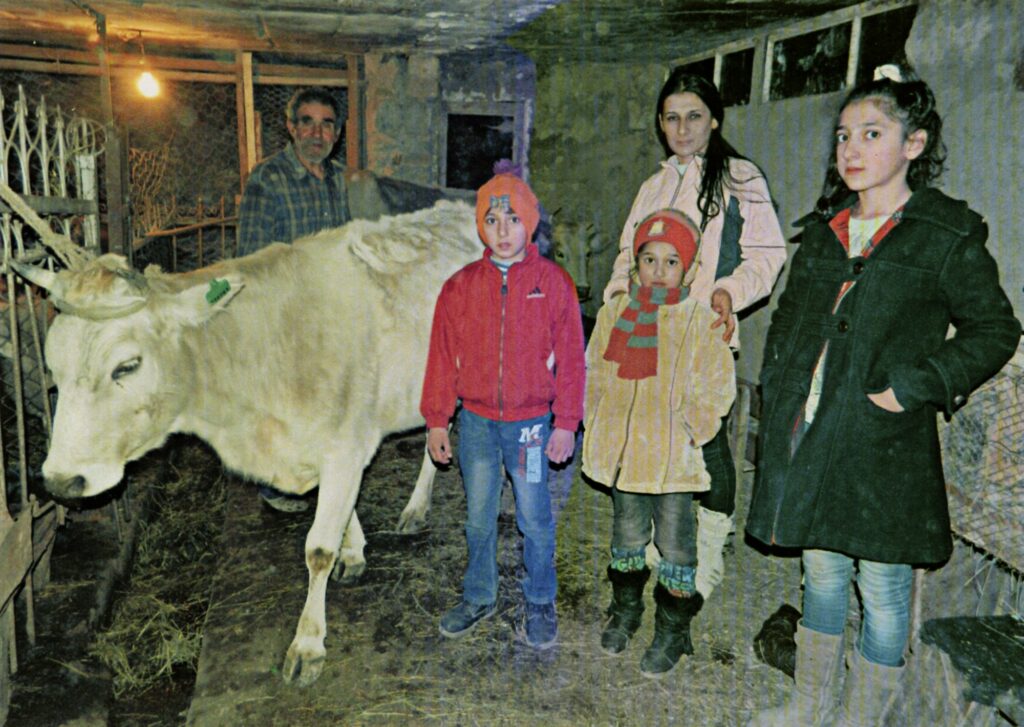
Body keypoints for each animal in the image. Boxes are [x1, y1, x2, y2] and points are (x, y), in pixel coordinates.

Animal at [10, 197, 481, 687]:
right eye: (53, 368)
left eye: (127, 366)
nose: (60, 481)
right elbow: (344, 517)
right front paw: (353, 552)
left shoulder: (346, 445)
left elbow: (318, 549)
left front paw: (307, 645)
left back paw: (416, 508)